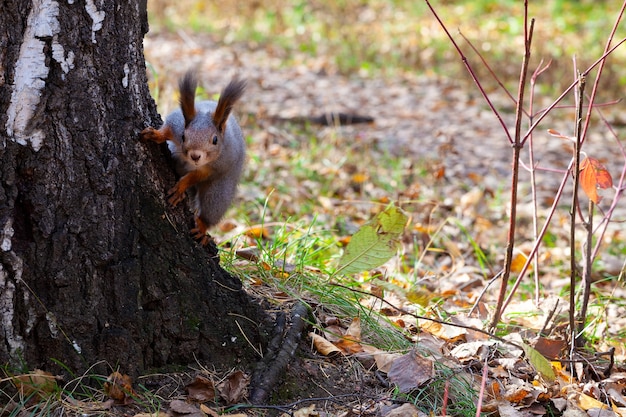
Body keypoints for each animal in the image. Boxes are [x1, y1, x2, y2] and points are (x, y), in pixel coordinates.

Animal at [140, 70, 245, 245]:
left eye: (215, 140)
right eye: (183, 136)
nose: (195, 156)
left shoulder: (217, 165)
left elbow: (198, 175)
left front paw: (181, 187)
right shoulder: (177, 123)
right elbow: (167, 129)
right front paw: (155, 134)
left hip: (219, 192)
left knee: (212, 207)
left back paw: (202, 225)